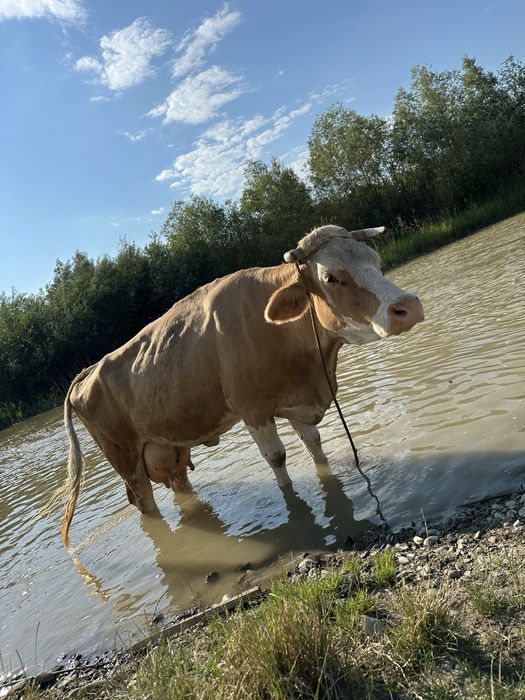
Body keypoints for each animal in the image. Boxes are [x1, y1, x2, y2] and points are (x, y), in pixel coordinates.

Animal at [55, 224, 424, 547]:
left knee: (179, 485)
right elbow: (277, 458)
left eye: (374, 260)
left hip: (168, 447)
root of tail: (89, 371)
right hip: (126, 458)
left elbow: (315, 447)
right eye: (332, 278)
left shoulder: (299, 400)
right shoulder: (253, 409)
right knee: (145, 501)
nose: (409, 306)